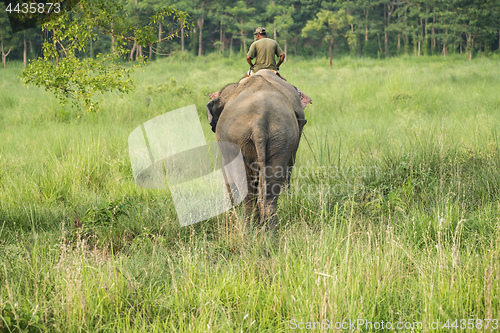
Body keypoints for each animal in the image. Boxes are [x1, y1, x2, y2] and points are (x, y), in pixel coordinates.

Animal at [206, 69, 308, 226]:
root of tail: (259, 120)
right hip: (281, 137)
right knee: (272, 188)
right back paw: (268, 228)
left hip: (239, 142)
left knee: (246, 187)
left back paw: (249, 226)